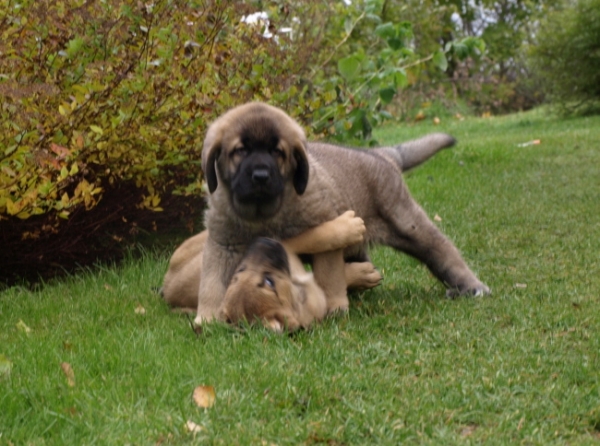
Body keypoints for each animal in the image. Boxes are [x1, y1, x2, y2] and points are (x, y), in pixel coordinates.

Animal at [162, 211, 382, 330]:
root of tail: (166, 287)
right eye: (268, 282)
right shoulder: (283, 247)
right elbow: (315, 238)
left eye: (240, 273)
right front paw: (348, 227)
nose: (261, 242)